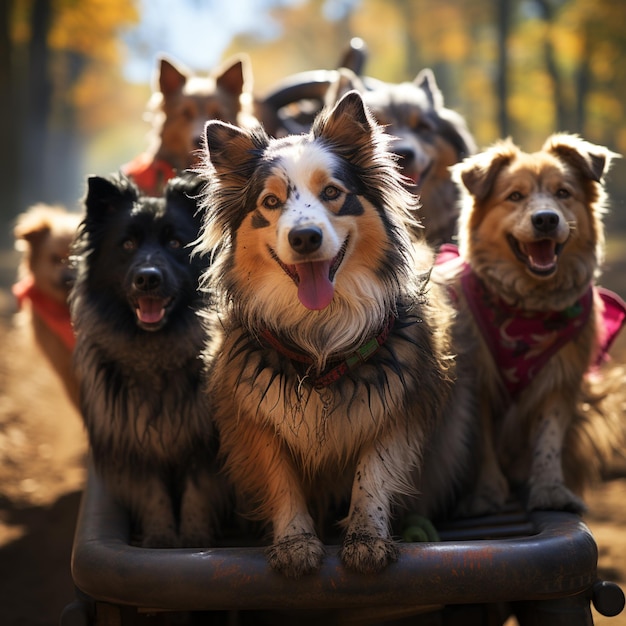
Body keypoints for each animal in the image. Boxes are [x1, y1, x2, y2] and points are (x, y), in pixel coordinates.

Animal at [70, 173, 224, 544]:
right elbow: (154, 497)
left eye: (175, 243)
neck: (155, 354)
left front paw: (193, 540)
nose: (147, 278)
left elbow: (197, 494)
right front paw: (160, 538)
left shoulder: (203, 446)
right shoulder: (137, 448)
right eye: (127, 245)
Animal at [197, 91, 470, 576]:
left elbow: (374, 471)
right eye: (271, 202)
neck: (320, 335)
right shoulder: (254, 415)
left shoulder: (401, 405)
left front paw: (367, 538)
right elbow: (280, 479)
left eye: (331, 193)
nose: (305, 237)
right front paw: (295, 542)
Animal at [434, 134, 624, 516]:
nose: (546, 220)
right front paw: (486, 494)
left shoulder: (560, 377)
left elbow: (548, 437)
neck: (527, 309)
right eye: (515, 196)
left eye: (563, 193)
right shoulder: (479, 381)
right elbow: (483, 445)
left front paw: (550, 490)